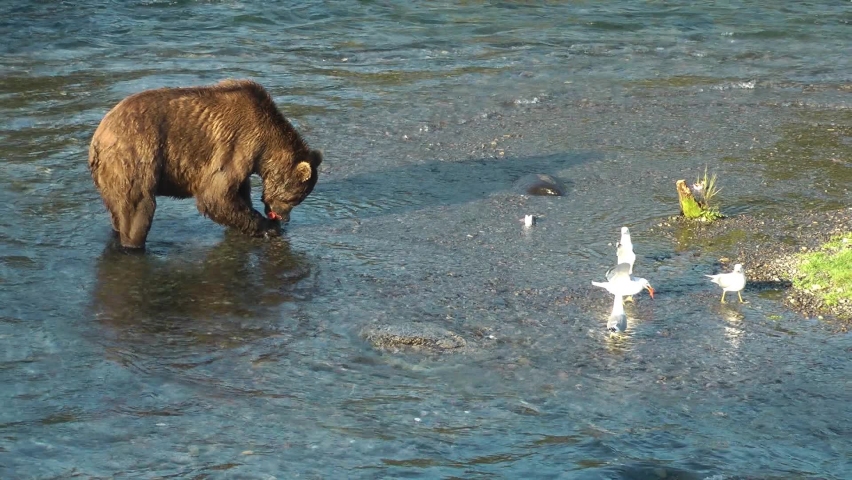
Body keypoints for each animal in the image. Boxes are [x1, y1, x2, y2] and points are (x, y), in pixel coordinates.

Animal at [88, 79, 322, 249]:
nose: (284, 218)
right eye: (295, 198)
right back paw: (133, 246)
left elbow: (237, 192)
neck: (265, 145)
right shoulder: (236, 145)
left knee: (117, 211)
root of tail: (98, 138)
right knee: (138, 207)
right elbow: (215, 195)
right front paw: (268, 227)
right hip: (135, 158)